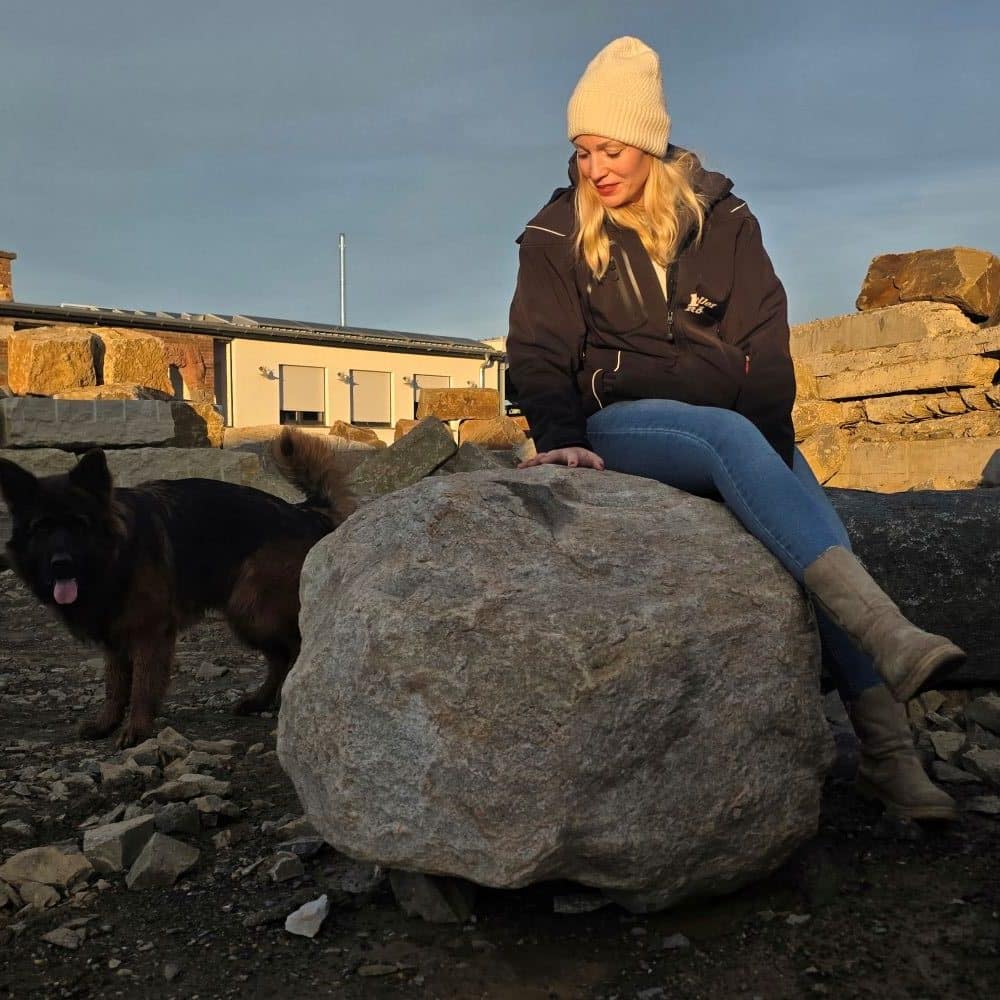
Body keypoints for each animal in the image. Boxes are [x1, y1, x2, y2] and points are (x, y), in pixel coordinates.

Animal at [0, 428, 354, 747]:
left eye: (78, 524)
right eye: (41, 529)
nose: (61, 564)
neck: (116, 554)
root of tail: (304, 511)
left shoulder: (149, 634)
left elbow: (142, 686)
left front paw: (137, 730)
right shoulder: (115, 638)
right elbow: (115, 687)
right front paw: (106, 724)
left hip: (253, 611)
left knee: (293, 649)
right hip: (249, 615)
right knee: (280, 657)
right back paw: (259, 701)